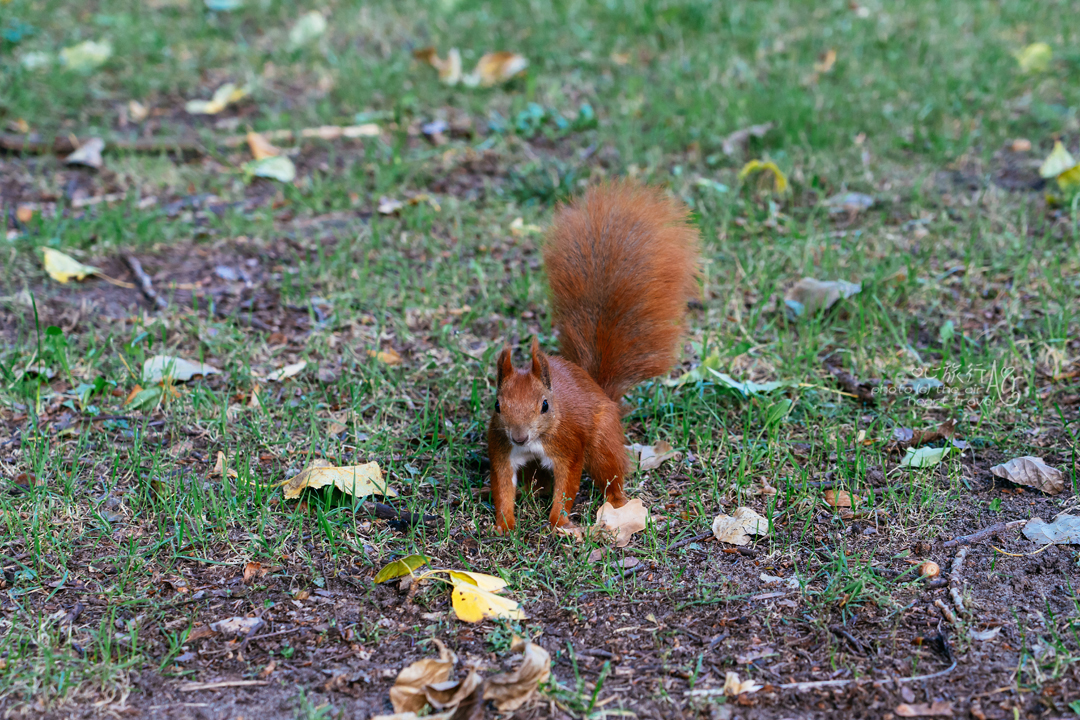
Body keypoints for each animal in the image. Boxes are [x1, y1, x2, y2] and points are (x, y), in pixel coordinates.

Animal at [488, 183, 699, 533]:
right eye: (497, 405)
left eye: (544, 405)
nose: (519, 436)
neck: (534, 441)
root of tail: (599, 389)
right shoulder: (503, 450)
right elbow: (503, 485)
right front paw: (504, 524)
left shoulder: (568, 445)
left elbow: (568, 482)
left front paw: (559, 523)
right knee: (534, 480)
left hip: (602, 439)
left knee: (609, 470)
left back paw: (617, 503)